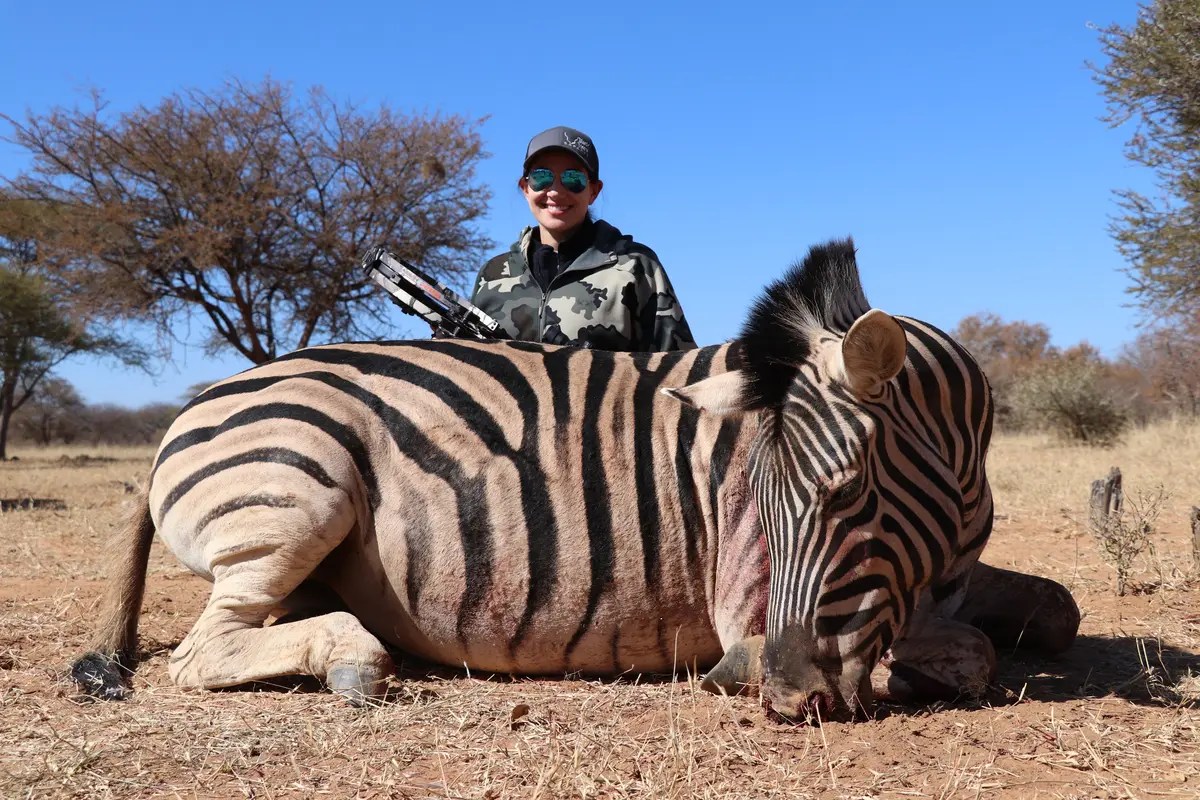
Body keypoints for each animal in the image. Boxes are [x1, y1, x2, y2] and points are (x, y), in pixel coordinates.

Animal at [71, 237, 1079, 721]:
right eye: (757, 504)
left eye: (851, 495)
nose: (787, 693)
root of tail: (199, 402)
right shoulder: (747, 600)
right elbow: (965, 651)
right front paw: (902, 668)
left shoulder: (950, 575)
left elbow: (1052, 611)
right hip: (298, 491)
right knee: (202, 652)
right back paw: (354, 659)